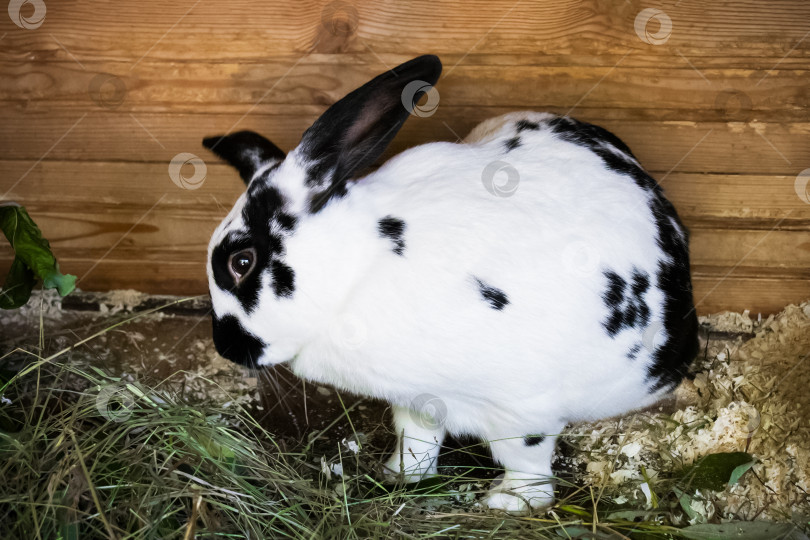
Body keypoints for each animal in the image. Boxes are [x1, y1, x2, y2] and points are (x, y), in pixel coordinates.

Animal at [200, 54, 696, 516]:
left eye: (241, 262)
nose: (225, 346)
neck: (358, 271)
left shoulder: (524, 406)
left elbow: (526, 458)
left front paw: (511, 502)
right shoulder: (416, 401)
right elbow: (417, 440)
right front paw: (400, 476)